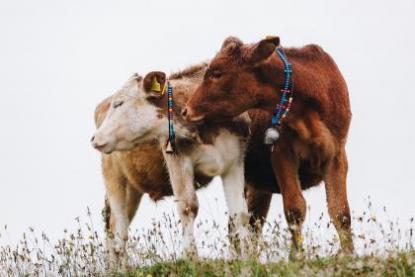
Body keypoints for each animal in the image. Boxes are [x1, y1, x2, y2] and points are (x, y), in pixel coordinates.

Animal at [185, 37, 354, 253]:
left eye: (217, 73)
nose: (186, 110)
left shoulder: (337, 154)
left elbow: (340, 212)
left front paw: (349, 255)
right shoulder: (281, 153)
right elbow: (295, 209)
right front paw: (297, 256)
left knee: (252, 224)